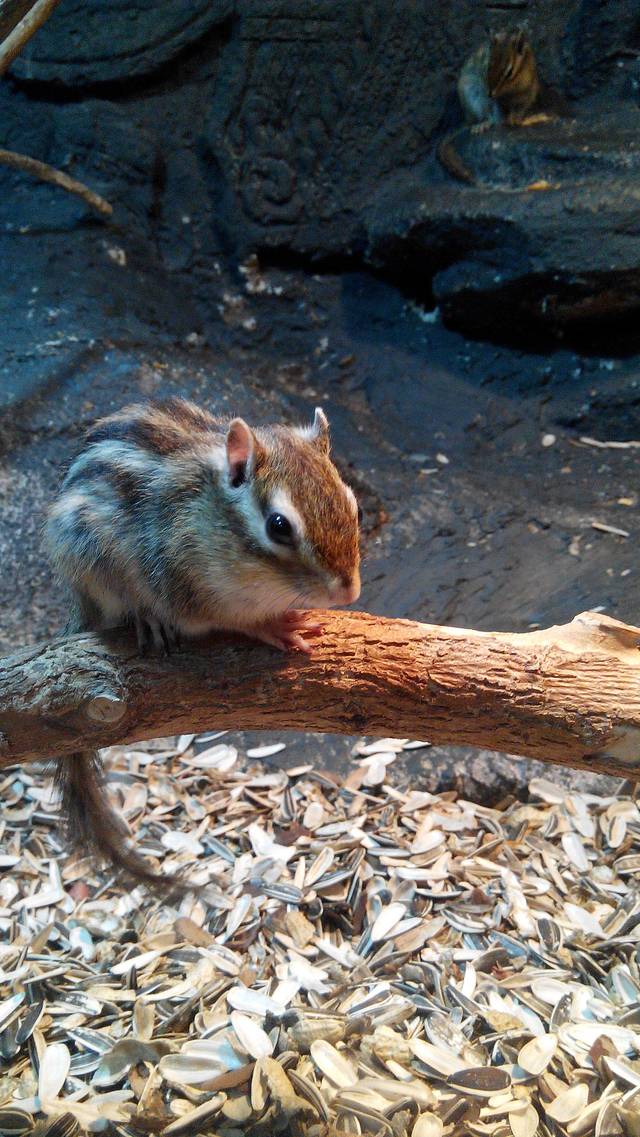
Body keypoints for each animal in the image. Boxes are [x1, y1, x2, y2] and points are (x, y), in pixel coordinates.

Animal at [45, 397, 361, 891]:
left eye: (353, 505)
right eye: (279, 526)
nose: (349, 592)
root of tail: (77, 598)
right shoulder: (184, 585)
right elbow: (228, 621)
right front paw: (274, 627)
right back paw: (147, 619)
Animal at [437, 29, 568, 187]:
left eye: (509, 72)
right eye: (487, 66)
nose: (490, 92)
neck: (511, 90)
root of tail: (467, 119)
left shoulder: (527, 94)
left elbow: (519, 116)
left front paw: (528, 118)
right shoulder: (495, 102)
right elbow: (501, 118)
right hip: (473, 94)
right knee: (488, 118)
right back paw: (482, 124)